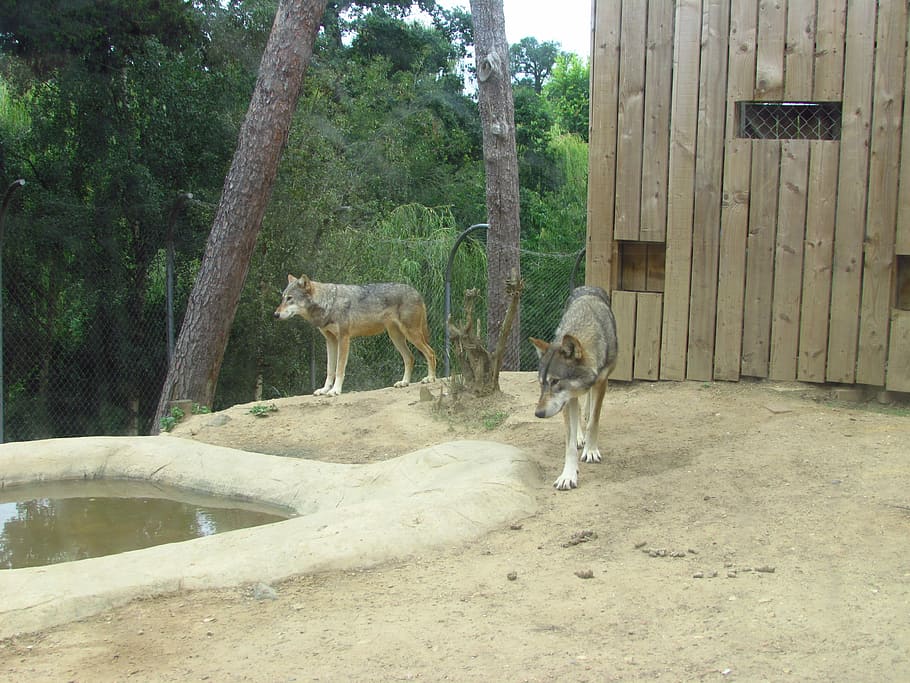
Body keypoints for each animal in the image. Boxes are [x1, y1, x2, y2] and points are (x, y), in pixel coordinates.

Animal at [274, 274, 437, 396]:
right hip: (396, 337)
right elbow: (330, 369)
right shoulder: (330, 341)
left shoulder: (344, 339)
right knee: (410, 358)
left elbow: (339, 368)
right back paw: (404, 382)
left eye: (290, 298)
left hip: (411, 334)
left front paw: (335, 390)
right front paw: (325, 389)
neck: (329, 303)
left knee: (431, 353)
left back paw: (430, 378)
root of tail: (416, 292)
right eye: (282, 298)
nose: (275, 315)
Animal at [530, 286, 618, 490]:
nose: (538, 414)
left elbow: (594, 421)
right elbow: (569, 444)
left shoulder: (602, 382)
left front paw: (591, 451)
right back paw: (579, 436)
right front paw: (568, 475)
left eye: (555, 381)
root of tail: (588, 286)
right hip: (569, 399)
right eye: (541, 382)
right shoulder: (567, 398)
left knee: (589, 405)